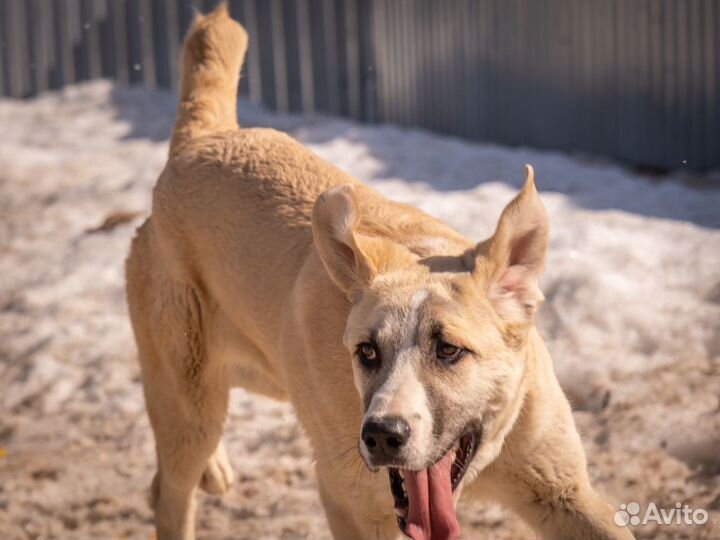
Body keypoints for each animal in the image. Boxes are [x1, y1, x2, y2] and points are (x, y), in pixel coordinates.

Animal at [125, 5, 636, 540]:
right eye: (367, 352)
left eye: (449, 350)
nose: (382, 435)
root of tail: (201, 141)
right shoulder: (352, 504)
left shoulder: (563, 492)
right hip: (191, 402)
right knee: (169, 491)